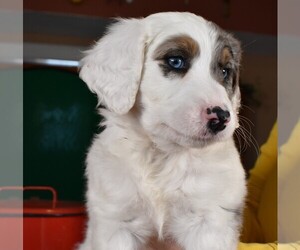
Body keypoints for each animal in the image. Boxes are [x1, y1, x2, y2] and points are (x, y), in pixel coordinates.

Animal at [79, 11, 246, 250]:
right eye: (175, 61)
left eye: (224, 71)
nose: (222, 117)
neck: (163, 155)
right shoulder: (116, 221)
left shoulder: (210, 222)